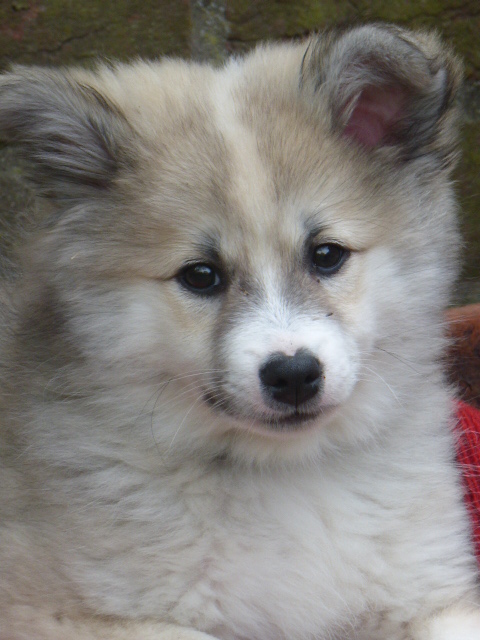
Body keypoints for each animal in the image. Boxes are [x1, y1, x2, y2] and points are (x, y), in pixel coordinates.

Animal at [0, 23, 479, 640]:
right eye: (200, 276)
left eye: (327, 255)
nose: (294, 375)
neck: (285, 471)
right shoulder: (53, 611)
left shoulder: (429, 590)